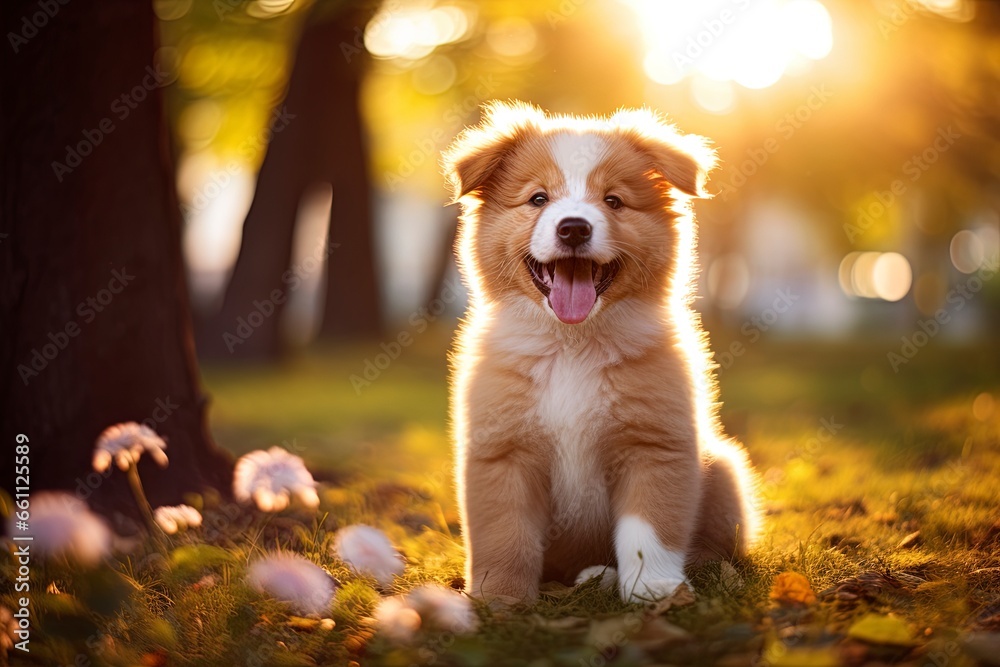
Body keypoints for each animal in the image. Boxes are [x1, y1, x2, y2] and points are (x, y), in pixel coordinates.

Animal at [444, 100, 756, 604]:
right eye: (538, 199)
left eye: (613, 201)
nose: (573, 228)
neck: (573, 345)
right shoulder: (501, 452)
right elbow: (505, 535)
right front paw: (500, 601)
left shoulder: (655, 444)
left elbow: (649, 530)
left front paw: (654, 590)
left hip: (724, 468)